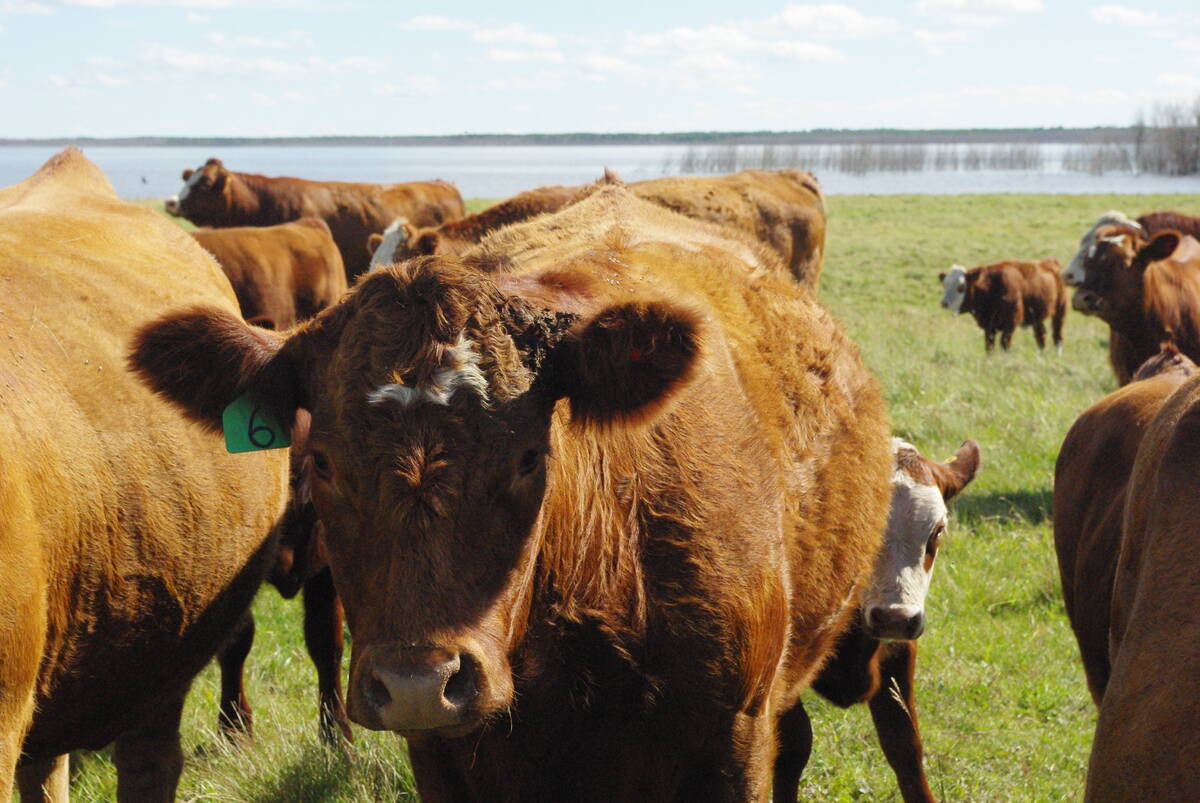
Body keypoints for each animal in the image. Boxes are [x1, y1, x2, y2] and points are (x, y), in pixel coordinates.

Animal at [938, 259, 1067, 353]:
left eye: (961, 286)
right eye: (945, 284)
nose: (944, 303)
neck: (992, 288)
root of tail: (1050, 261)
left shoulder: (1010, 325)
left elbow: (1005, 346)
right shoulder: (989, 327)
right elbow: (989, 347)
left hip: (1060, 311)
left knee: (1057, 337)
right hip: (1037, 317)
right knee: (1041, 337)